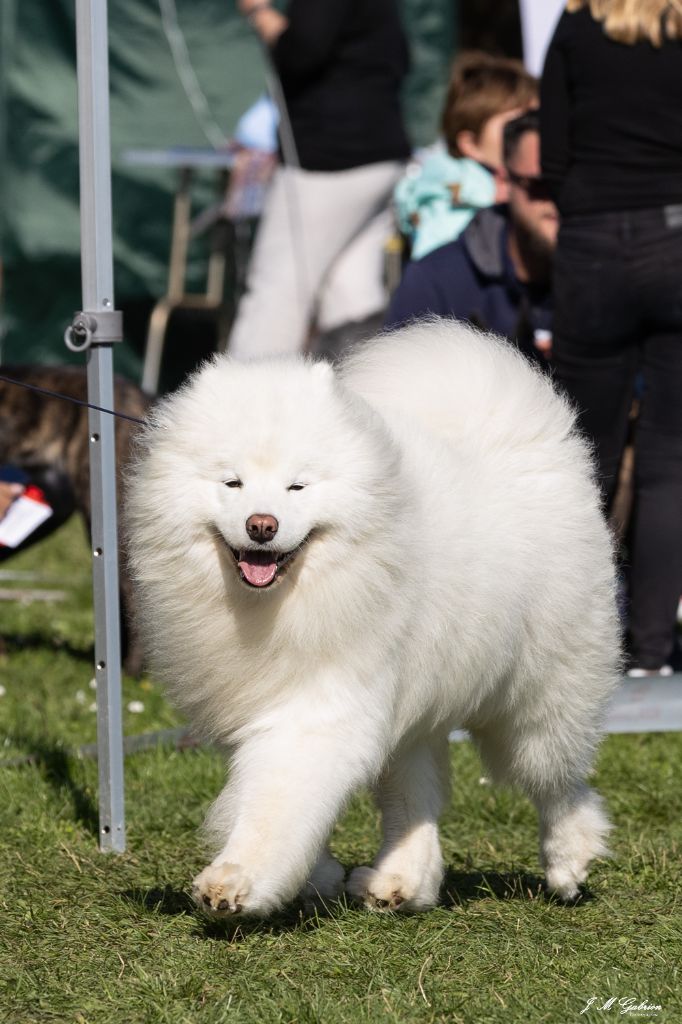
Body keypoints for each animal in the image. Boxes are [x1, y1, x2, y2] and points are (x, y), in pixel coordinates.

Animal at [125, 319, 621, 916]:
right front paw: (314, 875)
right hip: (419, 704)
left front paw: (237, 878)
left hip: (537, 698)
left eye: (297, 486)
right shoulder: (257, 698)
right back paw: (402, 882)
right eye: (232, 483)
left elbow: (275, 802)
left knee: (558, 782)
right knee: (416, 797)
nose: (262, 525)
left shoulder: (319, 706)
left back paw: (568, 863)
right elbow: (275, 801)